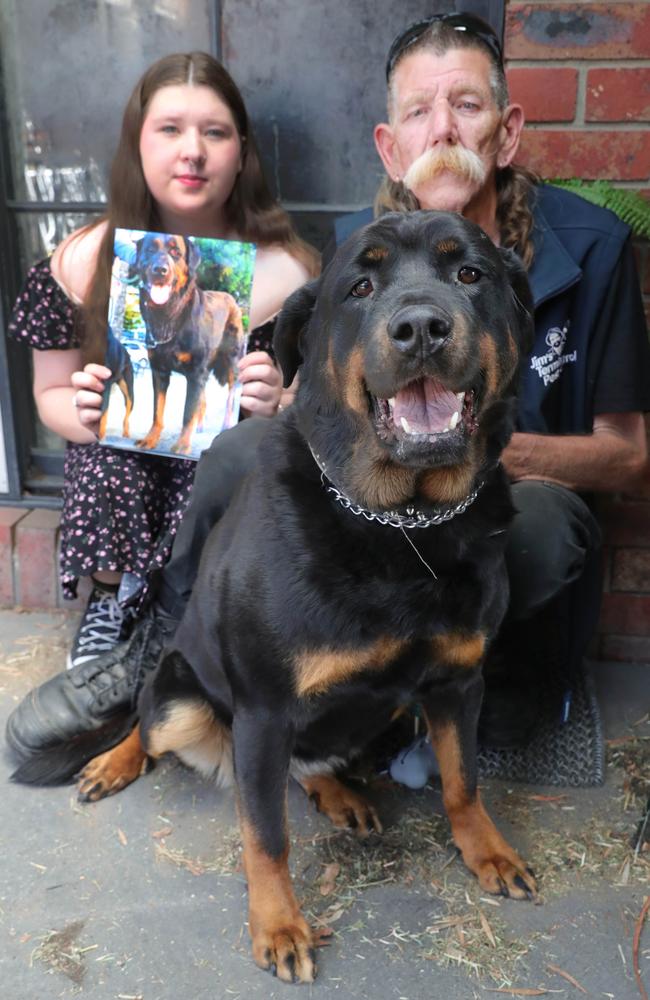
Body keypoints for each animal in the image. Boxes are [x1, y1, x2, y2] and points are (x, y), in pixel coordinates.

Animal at [133, 234, 244, 454]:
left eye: (176, 252)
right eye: (150, 250)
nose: (160, 270)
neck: (169, 316)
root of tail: (233, 299)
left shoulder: (195, 373)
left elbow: (188, 412)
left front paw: (182, 446)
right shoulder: (159, 371)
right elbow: (157, 411)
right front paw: (150, 439)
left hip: (232, 361)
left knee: (230, 395)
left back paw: (225, 425)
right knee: (204, 398)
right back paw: (200, 426)